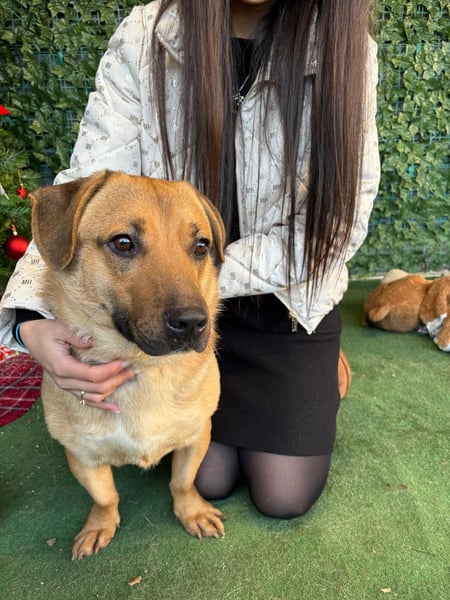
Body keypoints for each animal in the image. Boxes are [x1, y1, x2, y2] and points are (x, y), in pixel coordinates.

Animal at [30, 171, 226, 559]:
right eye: (123, 243)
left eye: (201, 246)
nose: (194, 323)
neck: (145, 368)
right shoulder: (82, 455)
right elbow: (105, 496)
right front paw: (100, 524)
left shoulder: (198, 434)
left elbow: (182, 482)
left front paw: (192, 511)